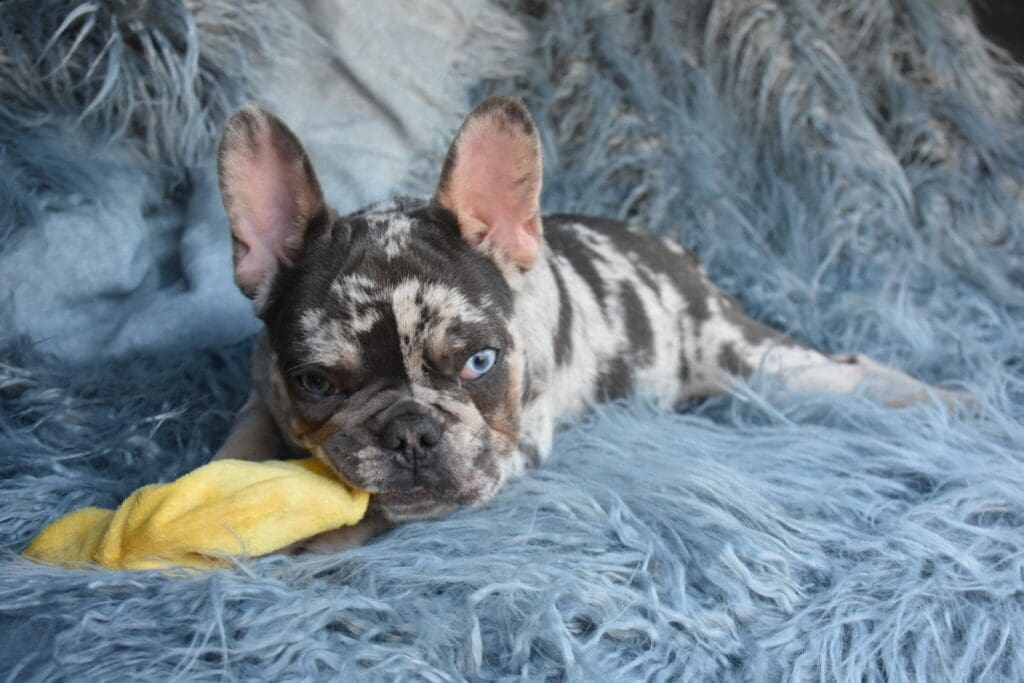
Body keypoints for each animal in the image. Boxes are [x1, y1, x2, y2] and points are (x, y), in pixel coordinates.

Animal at [211, 96, 962, 552]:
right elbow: (238, 445)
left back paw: (936, 399)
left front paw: (316, 534)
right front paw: (221, 488)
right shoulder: (260, 389)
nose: (411, 432)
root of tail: (679, 254)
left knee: (842, 369)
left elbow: (375, 504)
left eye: (480, 363)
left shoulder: (517, 440)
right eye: (316, 382)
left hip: (748, 360)